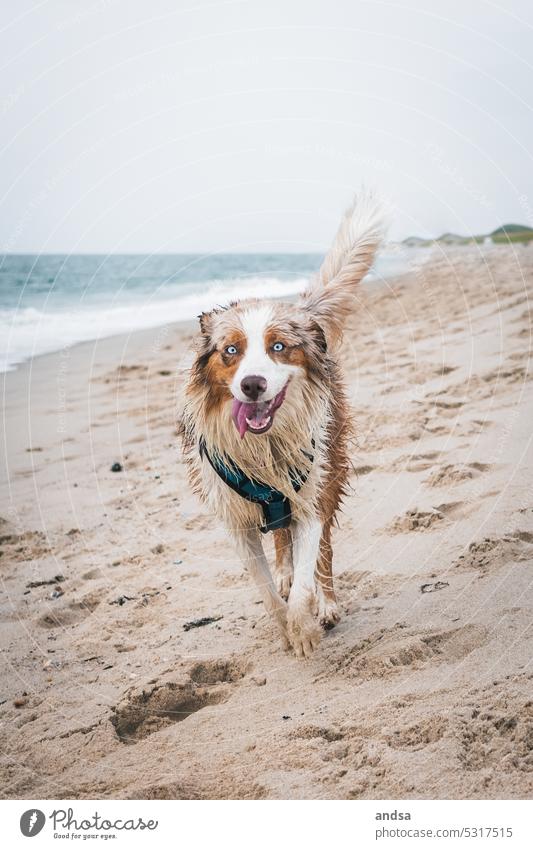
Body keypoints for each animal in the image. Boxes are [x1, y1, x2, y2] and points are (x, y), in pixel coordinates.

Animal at [179, 192, 382, 656]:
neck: (264, 447)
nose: (252, 384)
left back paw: (326, 602)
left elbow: (308, 572)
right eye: (230, 350)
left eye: (278, 347)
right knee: (279, 538)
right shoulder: (235, 521)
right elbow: (267, 590)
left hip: (331, 470)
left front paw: (305, 626)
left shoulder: (310, 496)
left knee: (323, 550)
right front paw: (286, 622)